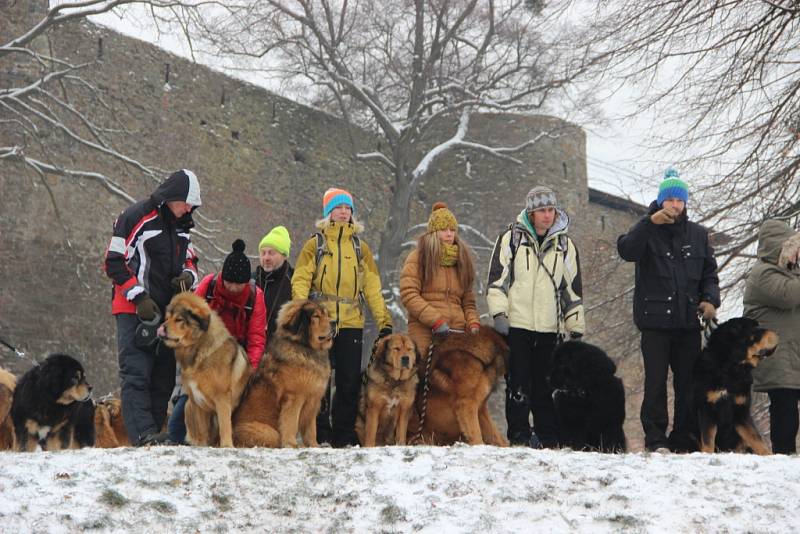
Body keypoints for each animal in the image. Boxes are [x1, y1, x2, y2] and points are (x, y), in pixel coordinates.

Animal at [158, 294, 252, 448]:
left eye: (179, 319)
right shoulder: (196, 401)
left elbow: (225, 424)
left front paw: (226, 445)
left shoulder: (222, 398)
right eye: (167, 318)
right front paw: (202, 445)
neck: (199, 350)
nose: (161, 328)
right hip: (187, 406)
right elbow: (202, 428)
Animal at [233, 302, 332, 448]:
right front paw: (292, 444)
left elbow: (311, 429)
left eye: (326, 314)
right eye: (316, 316)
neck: (306, 348)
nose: (335, 322)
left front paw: (314, 446)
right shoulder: (294, 398)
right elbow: (291, 423)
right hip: (268, 431)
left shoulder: (314, 400)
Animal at [692, 318, 780, 456]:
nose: (778, 334)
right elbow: (708, 439)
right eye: (755, 329)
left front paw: (769, 455)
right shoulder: (706, 408)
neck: (730, 368)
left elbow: (756, 438)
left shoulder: (740, 411)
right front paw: (707, 454)